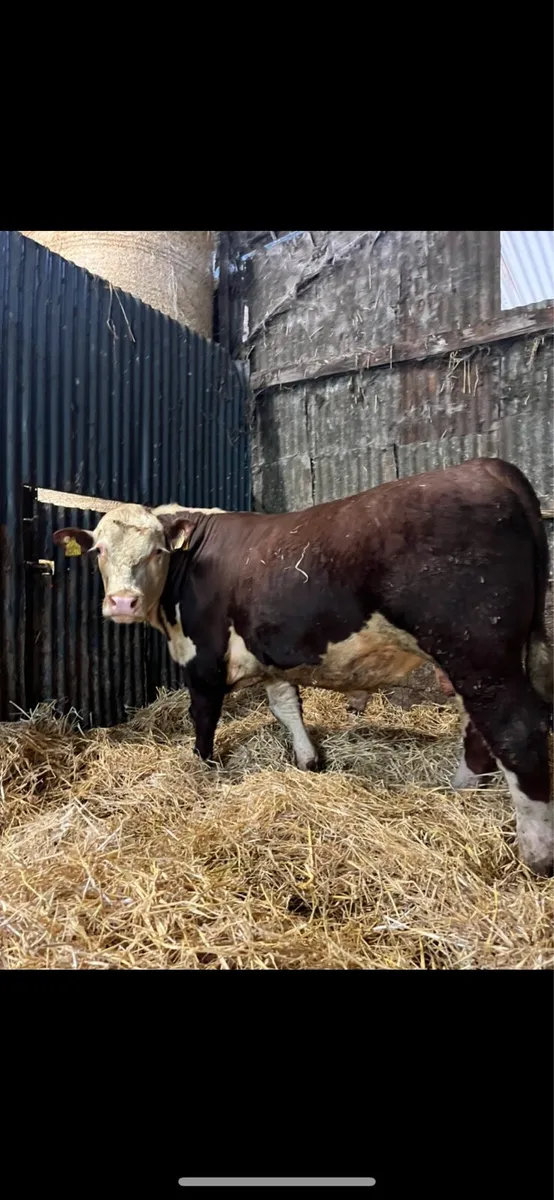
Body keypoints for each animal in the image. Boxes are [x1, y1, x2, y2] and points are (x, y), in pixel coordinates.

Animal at [53, 458, 553, 876]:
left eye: (158, 550)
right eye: (98, 550)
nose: (122, 603)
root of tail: (487, 467)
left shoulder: (203, 658)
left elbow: (204, 718)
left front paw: (204, 769)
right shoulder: (269, 654)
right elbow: (285, 705)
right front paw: (309, 760)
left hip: (478, 650)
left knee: (516, 730)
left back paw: (536, 855)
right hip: (483, 656)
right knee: (479, 725)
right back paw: (461, 789)